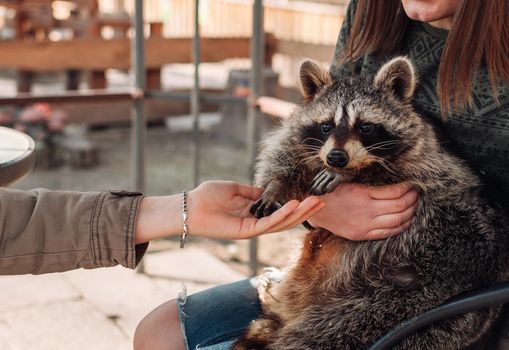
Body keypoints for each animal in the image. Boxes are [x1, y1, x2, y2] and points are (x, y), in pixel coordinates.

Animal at [234, 58, 508, 350]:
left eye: (365, 127)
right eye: (326, 126)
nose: (336, 158)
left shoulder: (428, 164)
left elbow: (390, 173)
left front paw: (353, 174)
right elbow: (284, 154)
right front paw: (276, 185)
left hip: (405, 304)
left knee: (325, 333)